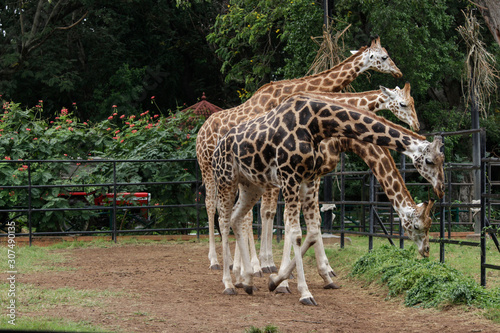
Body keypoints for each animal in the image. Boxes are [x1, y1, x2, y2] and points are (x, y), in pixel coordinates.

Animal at [196, 35, 402, 270]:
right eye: (384, 56)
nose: (398, 72)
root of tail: (200, 132)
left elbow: (271, 213)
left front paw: (268, 263)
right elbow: (268, 213)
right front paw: (262, 264)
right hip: (208, 167)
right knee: (212, 205)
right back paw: (217, 261)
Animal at [211, 92, 446, 304]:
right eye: (430, 161)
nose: (426, 250)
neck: (317, 125)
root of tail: (217, 146)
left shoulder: (308, 179)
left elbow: (313, 230)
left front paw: (279, 279)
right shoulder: (291, 178)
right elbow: (294, 231)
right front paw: (301, 290)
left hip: (251, 185)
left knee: (237, 218)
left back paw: (247, 279)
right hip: (226, 180)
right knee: (223, 219)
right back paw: (229, 281)